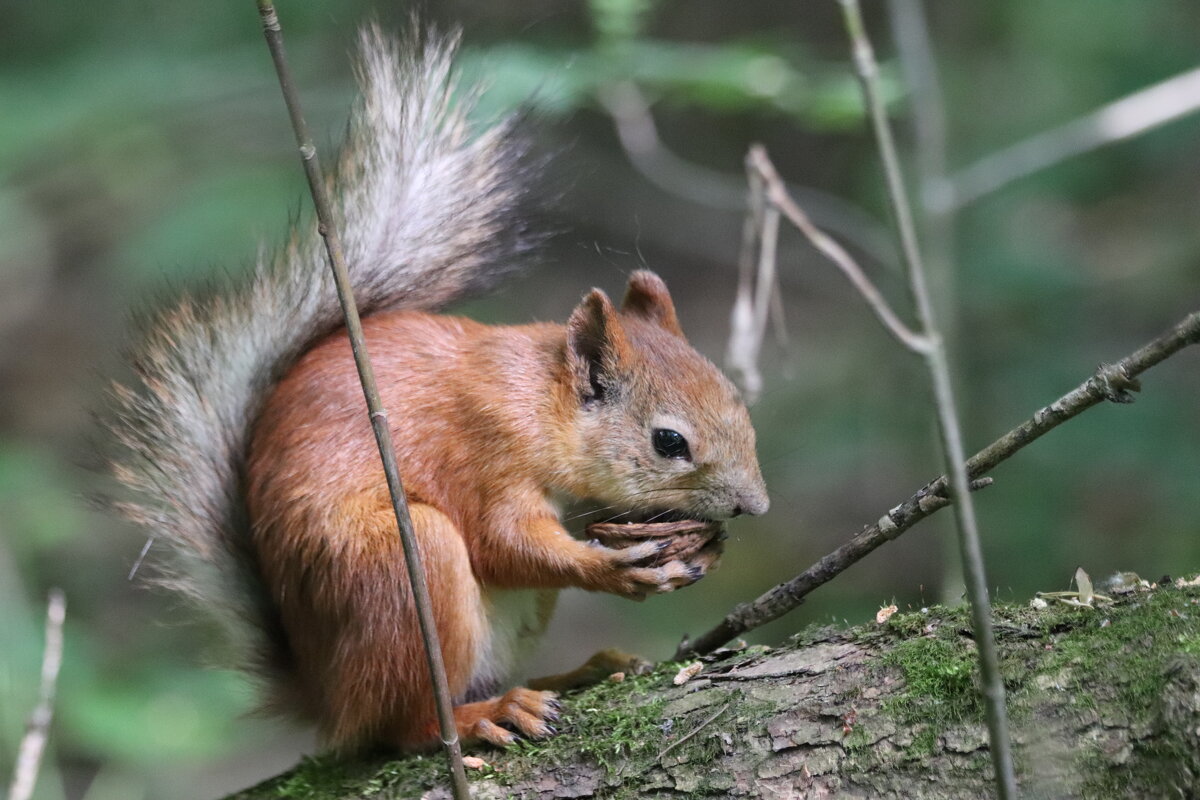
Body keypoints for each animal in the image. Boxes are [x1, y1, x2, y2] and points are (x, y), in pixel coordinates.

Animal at [112, 23, 768, 753]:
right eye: (668, 442)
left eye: (738, 403)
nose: (756, 505)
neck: (535, 398)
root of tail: (328, 698)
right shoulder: (480, 451)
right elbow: (503, 542)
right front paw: (610, 568)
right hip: (403, 567)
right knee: (410, 724)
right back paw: (484, 715)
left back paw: (577, 673)